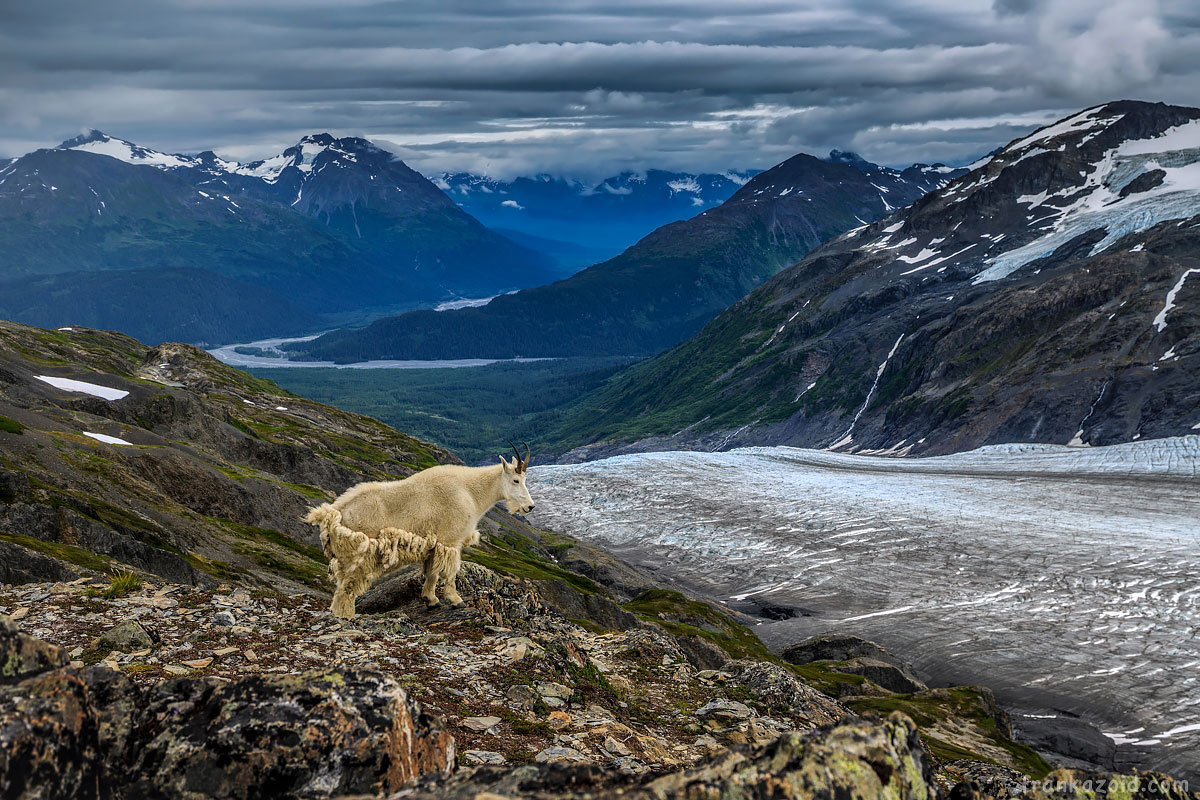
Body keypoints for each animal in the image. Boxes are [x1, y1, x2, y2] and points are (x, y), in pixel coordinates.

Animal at [304, 443, 535, 618]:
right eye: (515, 480)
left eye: (525, 480)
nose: (530, 507)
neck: (470, 491)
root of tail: (334, 514)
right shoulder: (451, 541)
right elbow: (450, 572)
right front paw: (456, 600)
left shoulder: (434, 543)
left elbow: (431, 572)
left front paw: (431, 600)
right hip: (360, 555)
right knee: (347, 587)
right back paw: (346, 616)